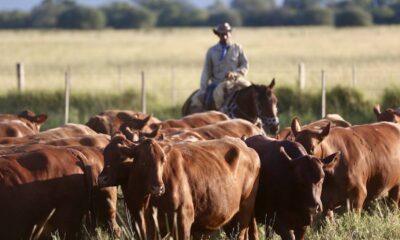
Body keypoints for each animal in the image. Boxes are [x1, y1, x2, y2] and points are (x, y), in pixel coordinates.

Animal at [99, 136, 260, 239]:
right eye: (143, 162)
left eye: (163, 160)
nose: (158, 188)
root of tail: (248, 148)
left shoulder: (184, 222)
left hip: (242, 216)